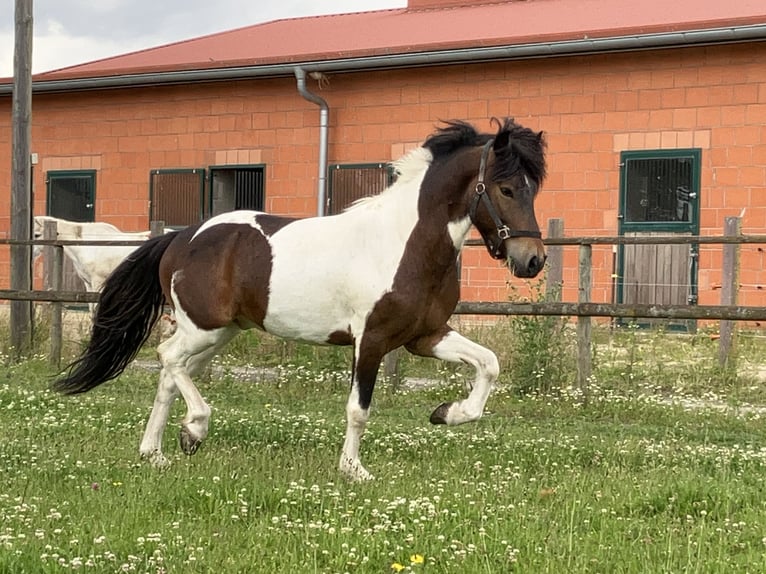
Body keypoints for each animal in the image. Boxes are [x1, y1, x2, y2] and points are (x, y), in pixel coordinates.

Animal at [51, 117, 547, 481]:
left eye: (533, 188)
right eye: (506, 188)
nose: (532, 260)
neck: (404, 243)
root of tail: (181, 238)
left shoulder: (426, 335)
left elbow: (488, 365)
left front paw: (446, 413)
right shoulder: (371, 339)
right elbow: (359, 409)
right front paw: (353, 470)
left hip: (220, 332)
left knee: (172, 375)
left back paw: (159, 451)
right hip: (202, 327)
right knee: (168, 359)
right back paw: (194, 428)